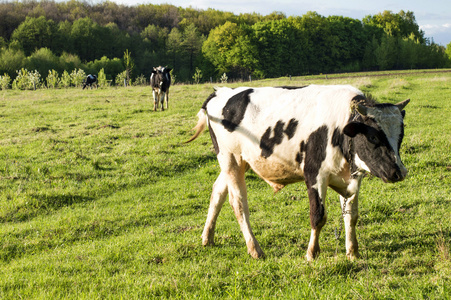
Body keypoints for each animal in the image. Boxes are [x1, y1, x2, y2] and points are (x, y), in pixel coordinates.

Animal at [185, 84, 412, 260]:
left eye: (400, 136)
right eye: (373, 137)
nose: (399, 172)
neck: (339, 128)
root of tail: (221, 92)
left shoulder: (351, 178)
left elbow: (351, 215)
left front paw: (352, 252)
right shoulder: (314, 174)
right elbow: (318, 216)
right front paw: (312, 253)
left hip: (239, 162)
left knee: (218, 191)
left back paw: (207, 237)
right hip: (230, 158)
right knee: (238, 203)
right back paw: (255, 249)